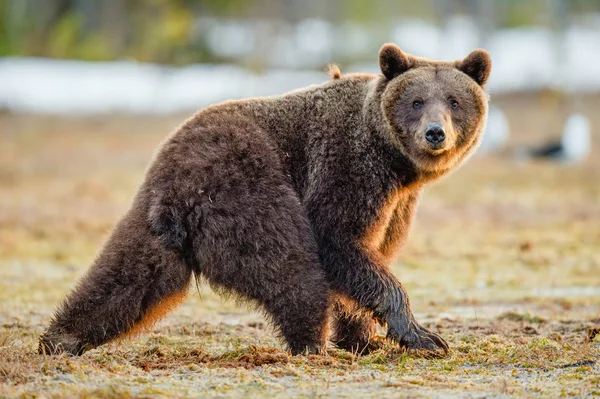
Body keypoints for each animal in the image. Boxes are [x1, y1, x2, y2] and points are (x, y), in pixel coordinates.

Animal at [37, 43, 490, 356]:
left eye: (454, 101)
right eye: (417, 101)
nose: (435, 133)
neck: (395, 164)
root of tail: (174, 180)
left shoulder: (397, 203)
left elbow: (375, 250)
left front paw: (364, 338)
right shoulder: (347, 168)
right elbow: (341, 240)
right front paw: (423, 336)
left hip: (155, 219)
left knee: (131, 273)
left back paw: (61, 337)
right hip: (248, 189)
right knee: (292, 264)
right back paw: (310, 343)